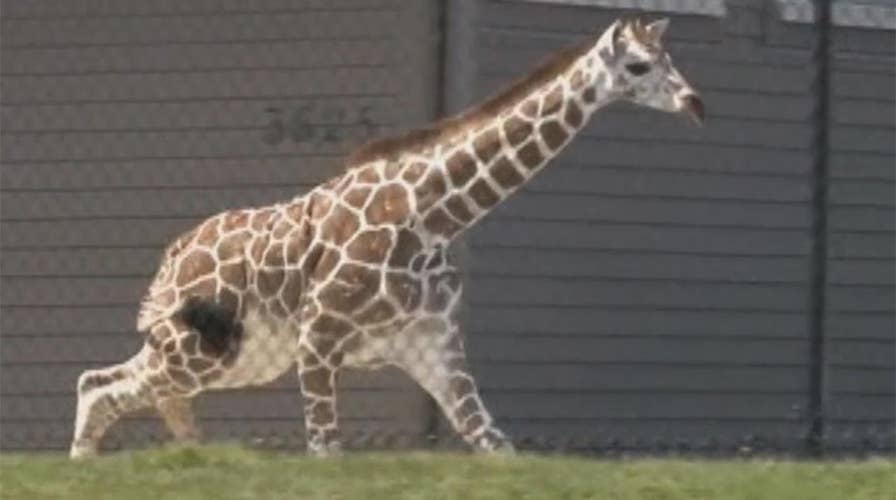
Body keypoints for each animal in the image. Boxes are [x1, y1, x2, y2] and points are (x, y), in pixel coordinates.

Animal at [70, 16, 704, 459]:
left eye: (669, 57)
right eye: (639, 66)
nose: (695, 102)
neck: (434, 216)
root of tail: (172, 258)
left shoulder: (433, 347)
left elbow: (498, 447)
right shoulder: (319, 337)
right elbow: (326, 452)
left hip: (233, 357)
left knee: (108, 385)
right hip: (207, 354)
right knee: (107, 388)